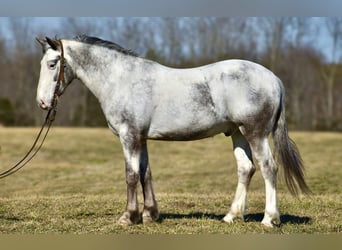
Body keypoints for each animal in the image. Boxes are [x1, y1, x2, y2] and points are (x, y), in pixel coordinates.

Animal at [35, 35, 310, 229]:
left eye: (52, 64)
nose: (42, 103)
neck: (122, 79)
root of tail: (273, 79)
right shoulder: (141, 138)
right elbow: (145, 174)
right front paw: (149, 214)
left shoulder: (129, 136)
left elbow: (131, 175)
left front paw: (128, 217)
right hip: (238, 134)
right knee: (246, 168)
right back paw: (231, 216)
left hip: (256, 133)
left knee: (268, 168)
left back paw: (269, 219)